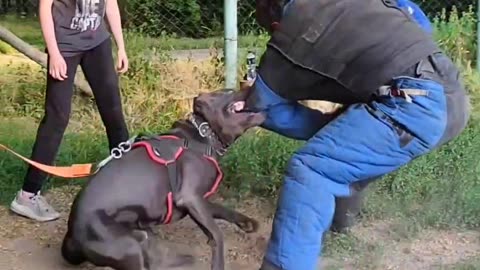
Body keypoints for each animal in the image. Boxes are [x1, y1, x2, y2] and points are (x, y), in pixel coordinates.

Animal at [60, 87, 266, 268]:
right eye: (229, 91)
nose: (253, 82)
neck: (204, 134)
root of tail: (71, 237)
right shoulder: (189, 197)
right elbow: (217, 234)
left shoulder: (198, 201)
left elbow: (222, 210)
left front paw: (247, 222)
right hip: (128, 247)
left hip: (143, 235)